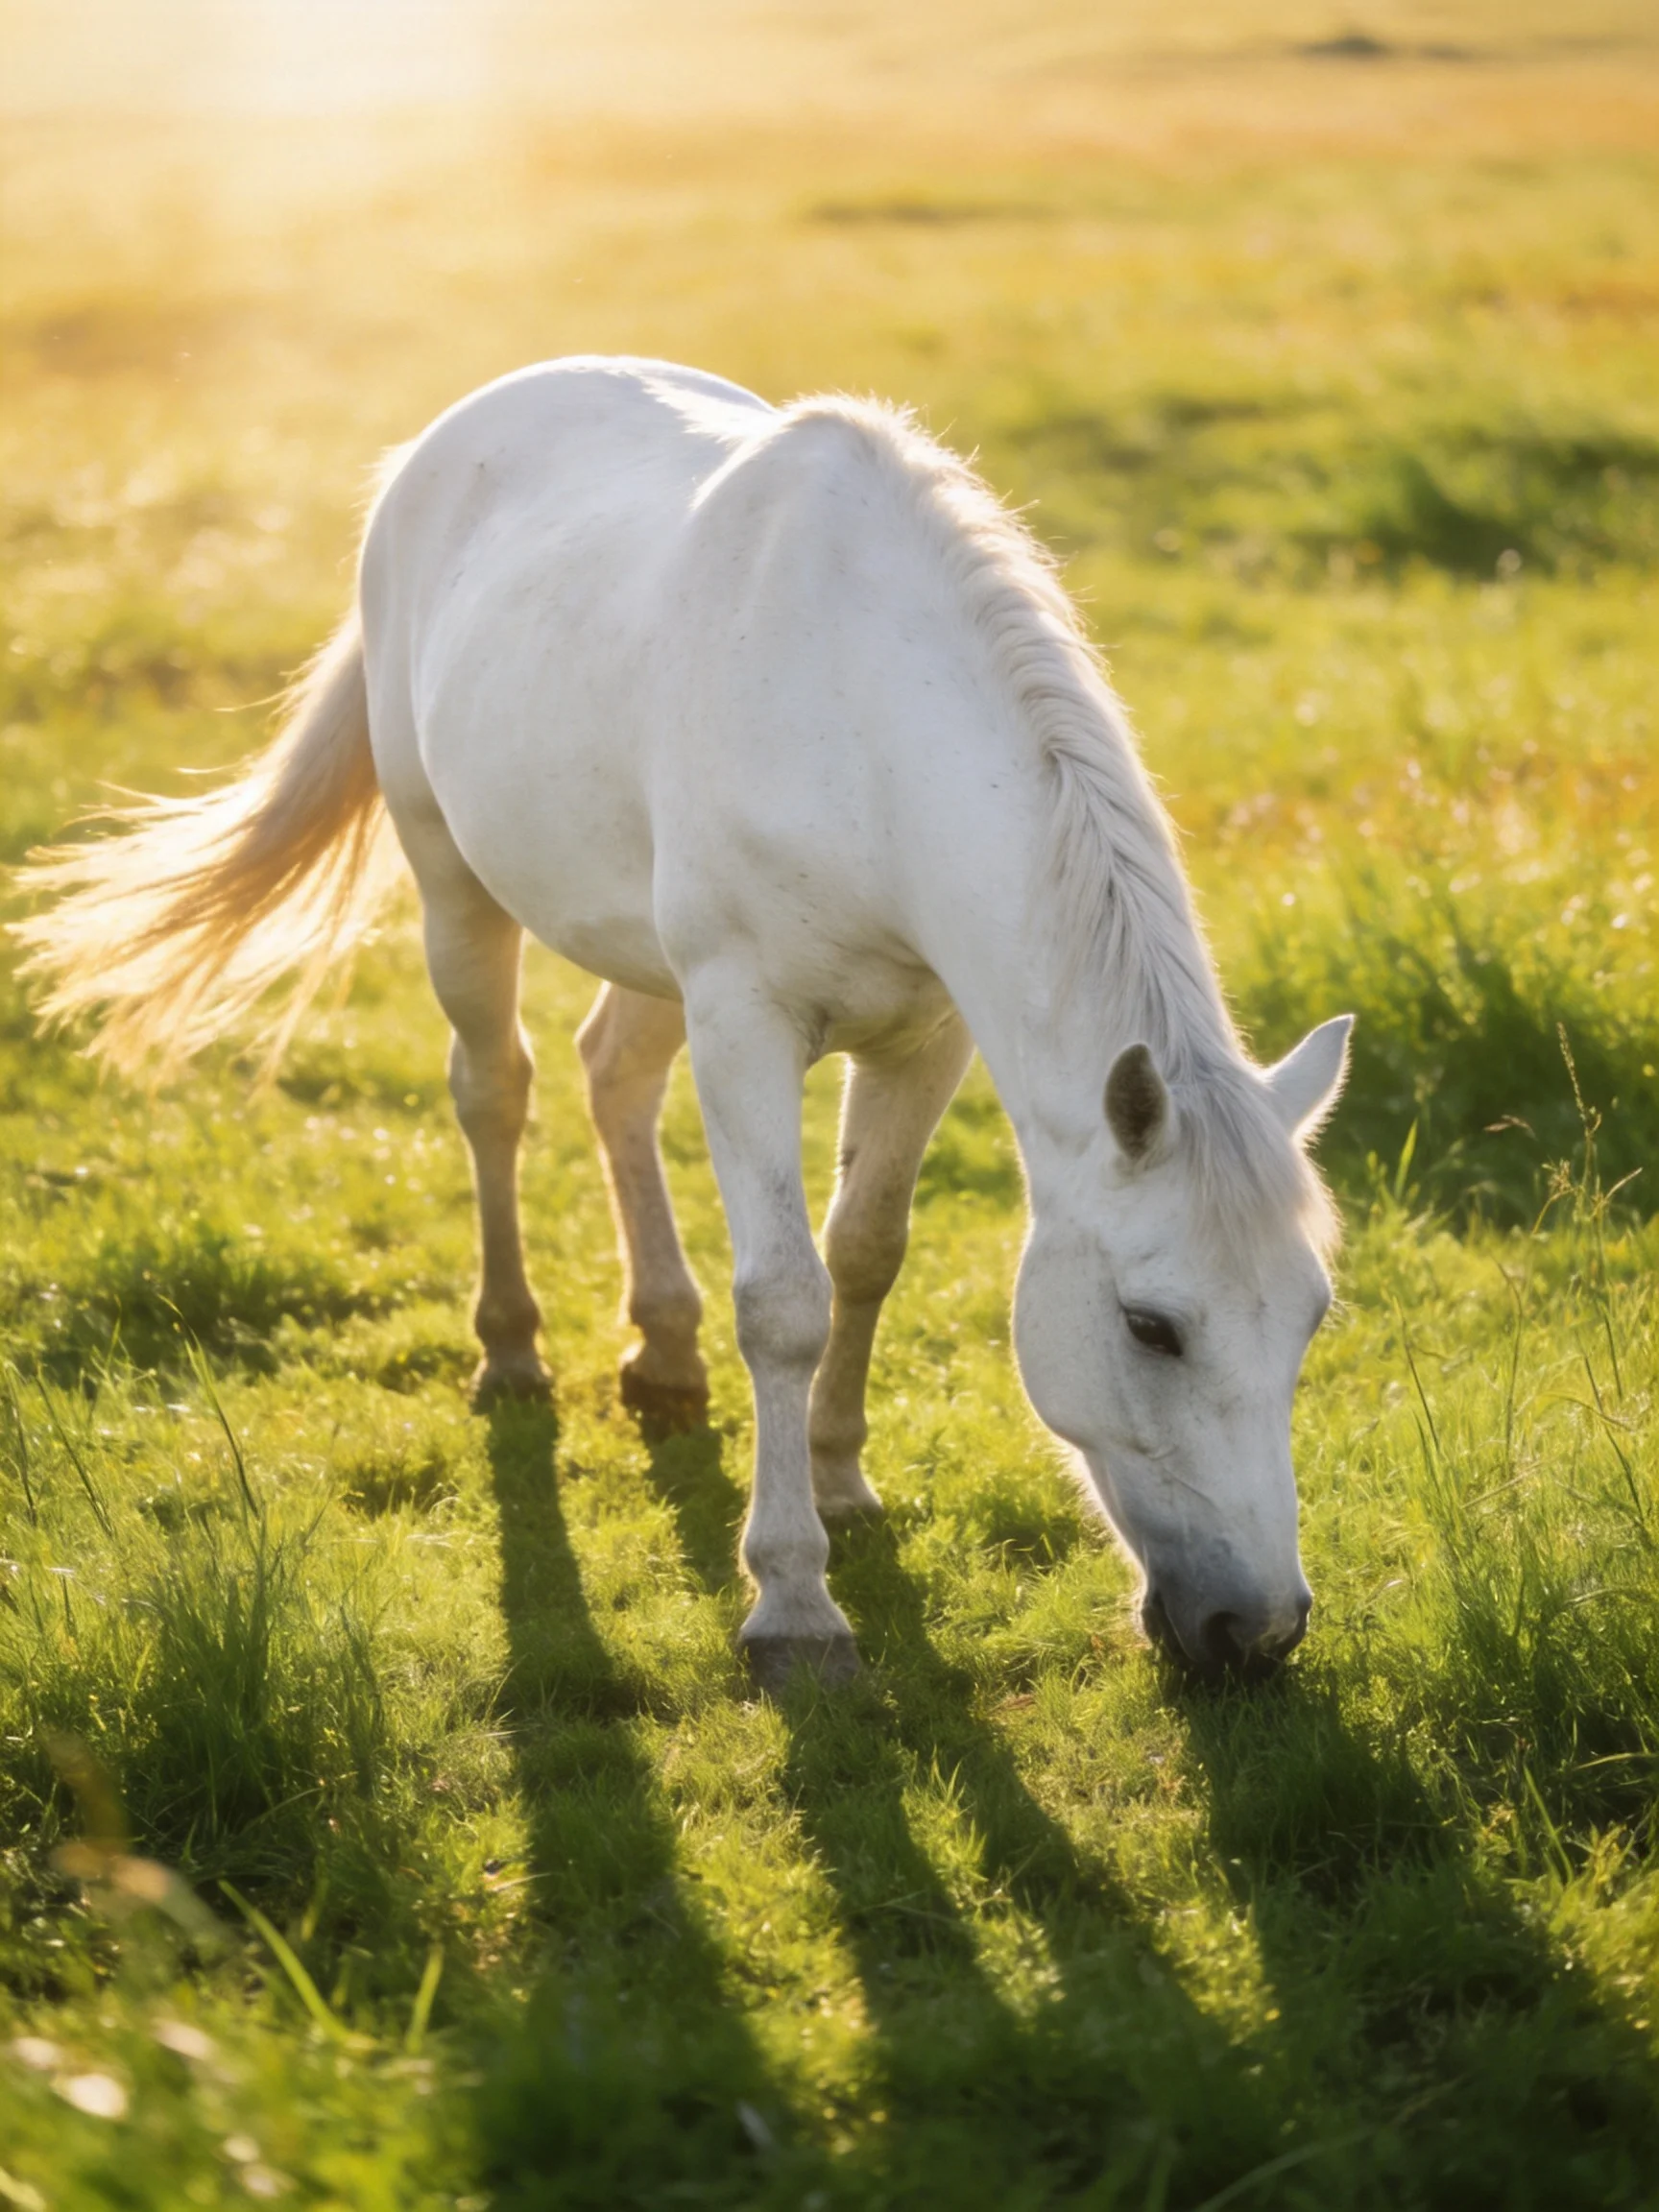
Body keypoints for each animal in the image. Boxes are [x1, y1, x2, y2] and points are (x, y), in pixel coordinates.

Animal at [16, 356, 1351, 1689]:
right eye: (1152, 1328)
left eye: (1310, 1315)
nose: (1257, 1630)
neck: (866, 727)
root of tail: (446, 435)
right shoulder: (744, 1021)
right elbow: (785, 1300)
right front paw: (795, 1603)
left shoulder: (926, 1037)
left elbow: (866, 1251)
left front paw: (838, 1476)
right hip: (454, 884)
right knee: (494, 1089)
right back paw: (511, 1351)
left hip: (648, 961)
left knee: (612, 1077)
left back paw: (661, 1354)